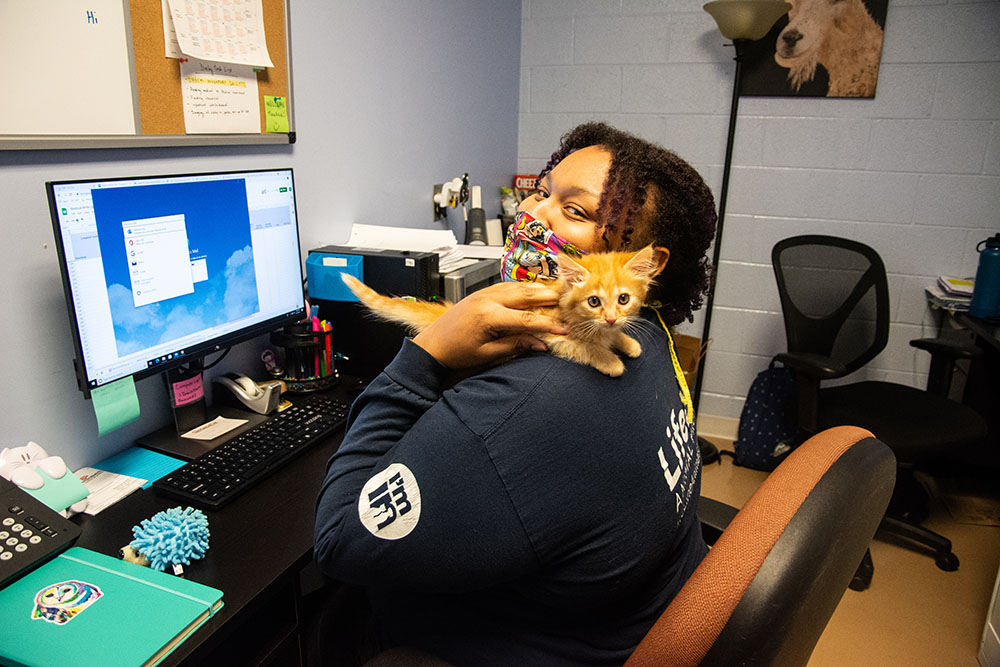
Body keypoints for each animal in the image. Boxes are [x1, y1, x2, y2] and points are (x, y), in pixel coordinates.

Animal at [340, 248, 668, 378]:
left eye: (623, 299)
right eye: (594, 302)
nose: (611, 318)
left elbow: (612, 336)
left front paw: (626, 342)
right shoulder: (549, 331)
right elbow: (583, 347)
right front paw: (609, 359)